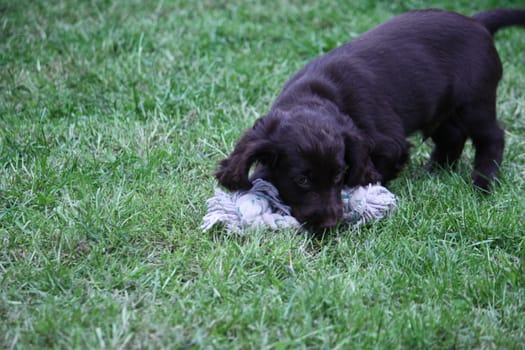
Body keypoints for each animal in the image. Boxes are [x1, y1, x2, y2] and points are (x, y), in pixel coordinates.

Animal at [215, 8, 524, 231]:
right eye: (302, 180)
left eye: (338, 176)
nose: (332, 224)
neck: (320, 95)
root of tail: (477, 23)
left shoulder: (389, 145)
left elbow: (376, 172)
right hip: (440, 108)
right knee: (452, 137)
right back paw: (433, 171)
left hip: (474, 102)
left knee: (492, 136)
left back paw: (483, 182)